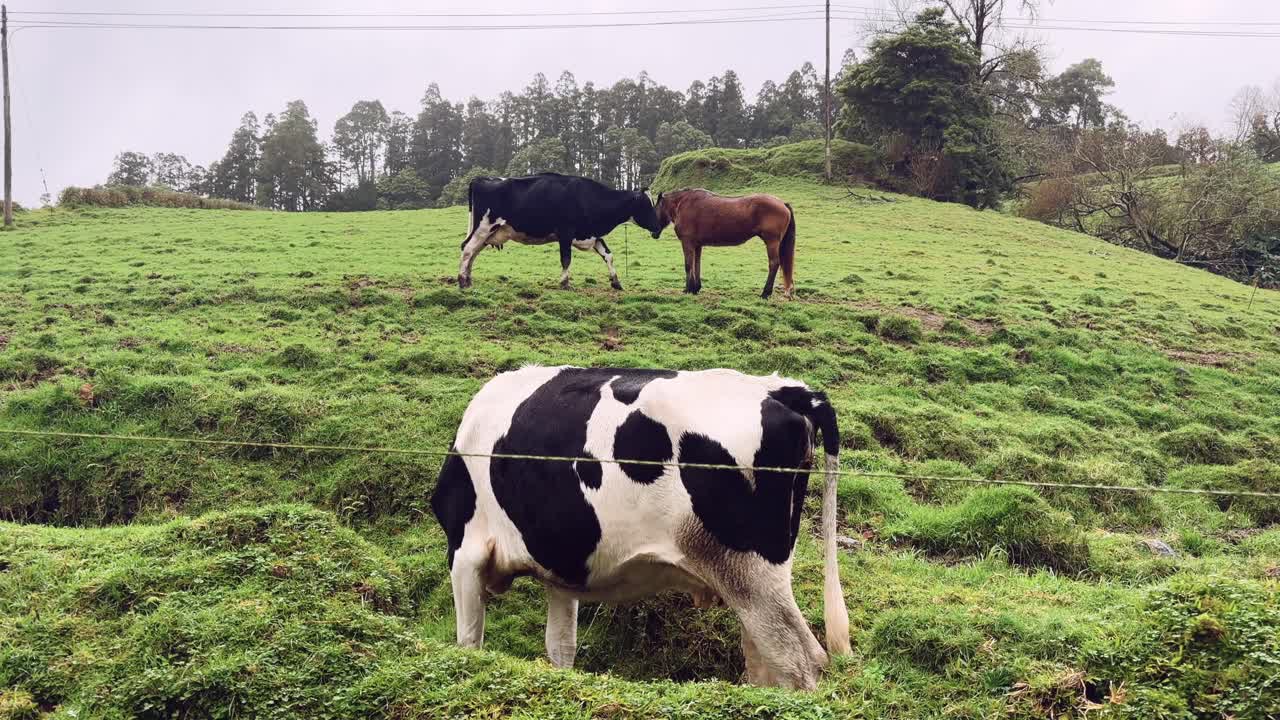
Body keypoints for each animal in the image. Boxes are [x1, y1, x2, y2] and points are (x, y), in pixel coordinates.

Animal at [652, 188, 797, 299]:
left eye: (655, 209)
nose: (654, 233)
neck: (683, 204)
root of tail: (782, 203)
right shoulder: (697, 245)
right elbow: (696, 265)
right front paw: (695, 288)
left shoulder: (687, 243)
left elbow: (688, 265)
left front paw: (688, 289)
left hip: (772, 242)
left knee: (774, 264)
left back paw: (765, 293)